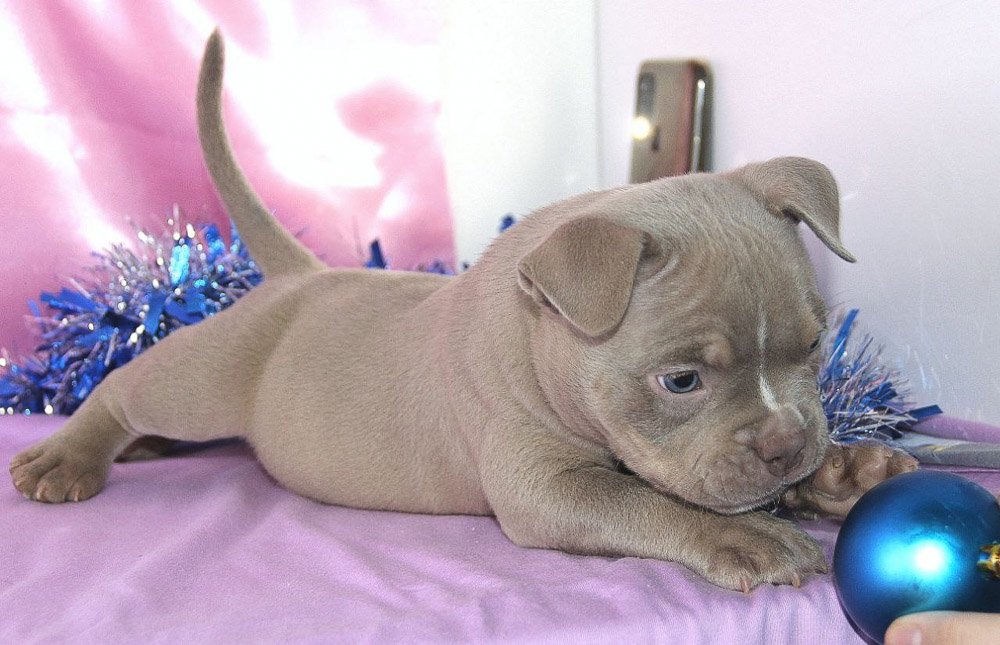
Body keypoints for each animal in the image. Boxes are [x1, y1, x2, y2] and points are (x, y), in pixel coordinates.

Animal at [9, 30, 916, 592]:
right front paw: (749, 535)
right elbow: (647, 503)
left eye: (815, 346)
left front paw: (844, 476)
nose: (787, 443)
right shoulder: (545, 487)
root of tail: (301, 277)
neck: (538, 321)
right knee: (126, 387)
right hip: (208, 375)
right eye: (682, 380)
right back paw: (68, 456)